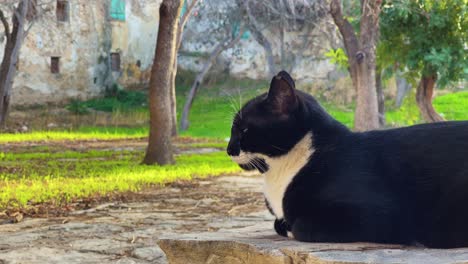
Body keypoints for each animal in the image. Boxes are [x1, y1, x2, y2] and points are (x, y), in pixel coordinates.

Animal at [228, 70, 468, 248]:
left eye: (244, 130)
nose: (229, 149)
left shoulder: (382, 214)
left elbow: (299, 226)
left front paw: (289, 227)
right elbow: (279, 222)